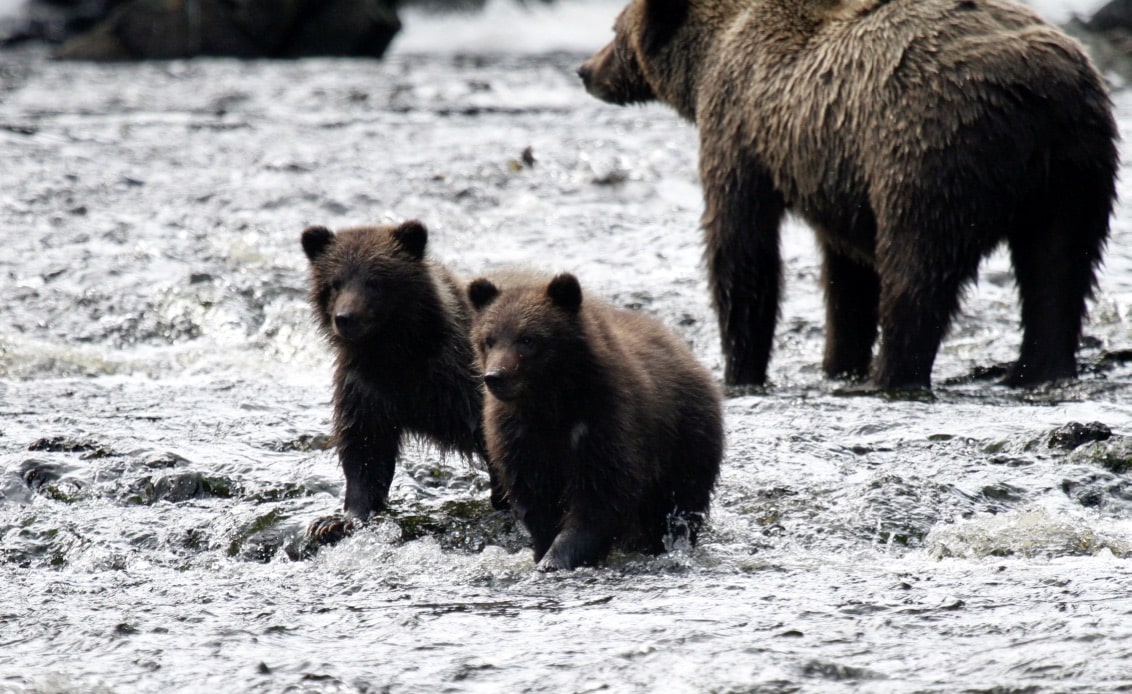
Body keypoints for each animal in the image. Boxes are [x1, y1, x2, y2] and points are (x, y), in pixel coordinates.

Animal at [300, 220, 505, 543]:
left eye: (375, 281)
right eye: (335, 282)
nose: (346, 317)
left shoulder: (462, 382)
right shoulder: (365, 389)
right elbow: (365, 451)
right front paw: (335, 521)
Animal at [467, 270, 724, 571]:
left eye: (527, 339)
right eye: (489, 339)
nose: (495, 376)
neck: (551, 404)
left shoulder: (605, 422)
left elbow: (599, 498)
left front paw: (556, 558)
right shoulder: (521, 439)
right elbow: (537, 505)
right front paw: (544, 552)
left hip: (685, 443)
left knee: (677, 506)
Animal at [578, 0, 1119, 390]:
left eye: (613, 30)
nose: (585, 69)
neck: (709, 56)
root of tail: (1041, 90)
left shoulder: (741, 131)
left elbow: (742, 246)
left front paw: (740, 369)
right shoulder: (836, 171)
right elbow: (846, 276)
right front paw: (839, 360)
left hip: (933, 152)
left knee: (917, 270)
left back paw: (891, 374)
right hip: (1076, 171)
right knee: (1060, 268)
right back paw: (1037, 368)